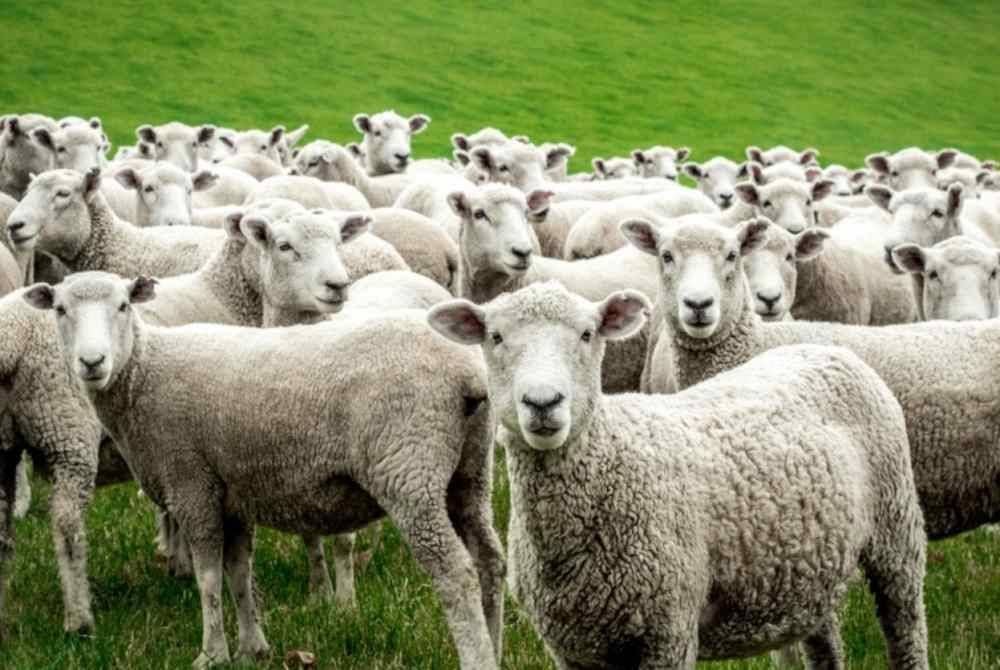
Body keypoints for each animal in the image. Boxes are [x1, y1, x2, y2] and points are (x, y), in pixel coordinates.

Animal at [26, 272, 505, 670]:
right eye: (60, 309)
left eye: (124, 305)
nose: (92, 362)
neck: (144, 371)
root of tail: (466, 374)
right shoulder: (232, 492)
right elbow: (239, 573)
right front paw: (252, 648)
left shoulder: (192, 483)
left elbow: (208, 577)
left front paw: (211, 654)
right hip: (470, 473)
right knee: (490, 560)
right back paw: (495, 645)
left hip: (409, 469)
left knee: (455, 573)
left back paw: (477, 657)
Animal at [428, 281, 927, 670]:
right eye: (495, 336)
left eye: (588, 334)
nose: (543, 402)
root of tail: (824, 349)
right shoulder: (571, 648)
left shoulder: (667, 631)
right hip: (811, 567)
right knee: (825, 644)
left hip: (897, 534)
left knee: (906, 628)